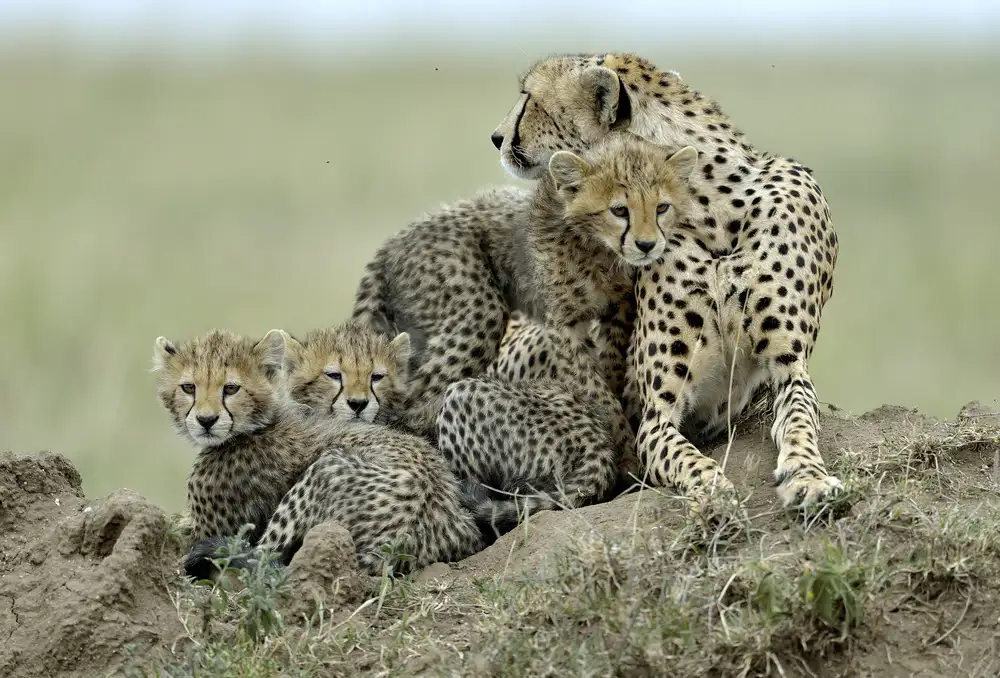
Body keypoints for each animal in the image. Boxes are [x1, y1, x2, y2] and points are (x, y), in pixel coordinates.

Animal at [152, 327, 483, 578]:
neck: (259, 424)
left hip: (326, 470)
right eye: (188, 387)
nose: (206, 420)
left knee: (264, 560)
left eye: (231, 388)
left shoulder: (208, 526)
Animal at [490, 52, 843, 513]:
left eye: (529, 98)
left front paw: (809, 478)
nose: (496, 137)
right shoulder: (658, 413)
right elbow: (685, 458)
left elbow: (799, 422)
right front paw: (713, 493)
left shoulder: (789, 369)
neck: (711, 208)